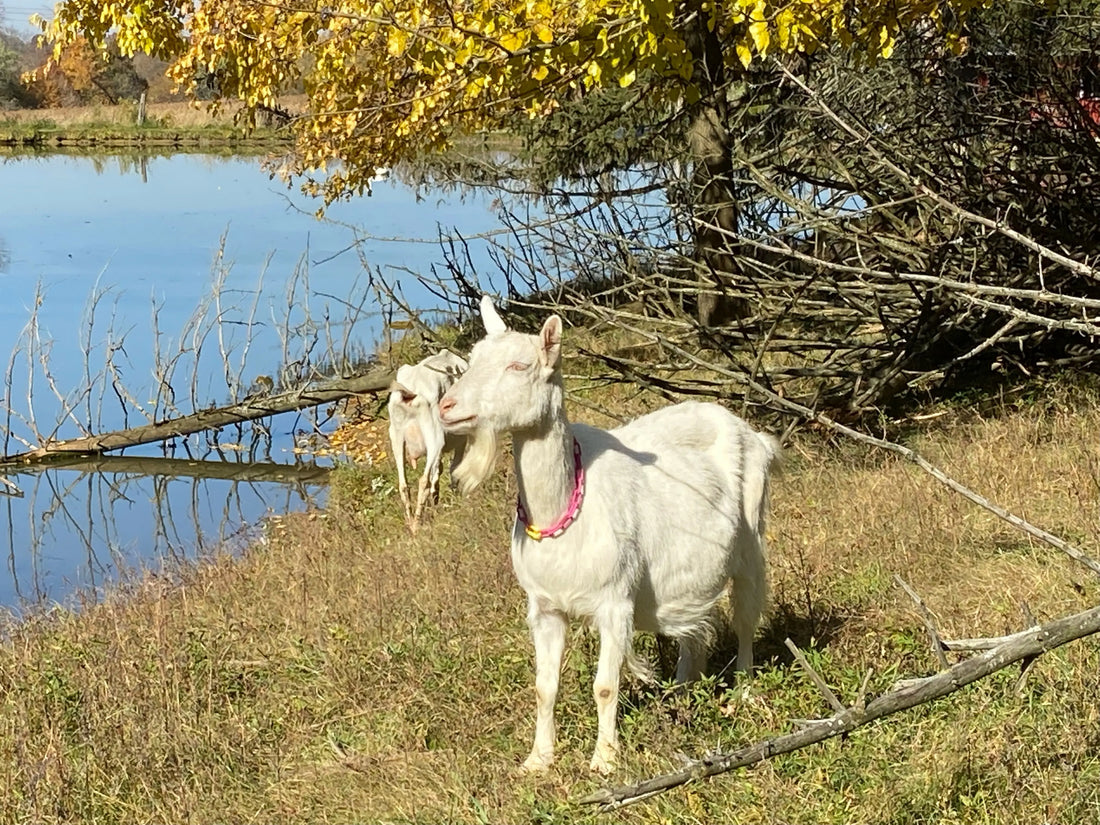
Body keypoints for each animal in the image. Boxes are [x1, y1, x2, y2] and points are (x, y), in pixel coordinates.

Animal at [387, 347, 468, 530]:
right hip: (434, 435)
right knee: (424, 480)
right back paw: (417, 525)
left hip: (396, 434)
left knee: (403, 484)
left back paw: (411, 523)